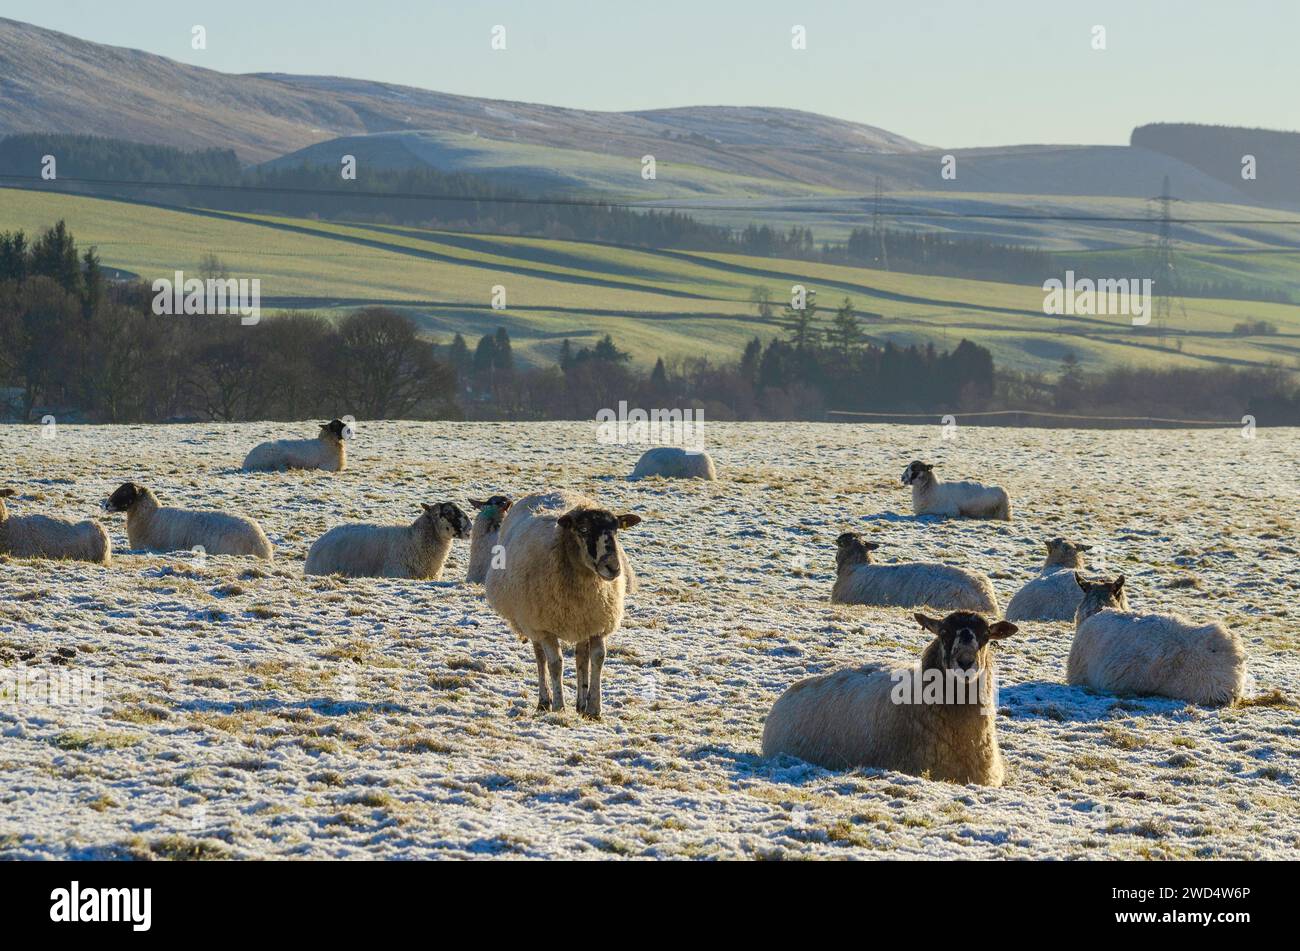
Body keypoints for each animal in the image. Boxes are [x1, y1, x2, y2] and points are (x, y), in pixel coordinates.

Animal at [486, 493, 642, 717]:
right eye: (583, 529)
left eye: (616, 529)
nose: (613, 567)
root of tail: (546, 491)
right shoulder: (544, 627)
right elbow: (555, 664)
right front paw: (559, 706)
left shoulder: (597, 623)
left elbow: (597, 659)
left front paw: (594, 708)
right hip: (531, 620)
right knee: (540, 658)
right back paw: (544, 700)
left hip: (580, 623)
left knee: (580, 658)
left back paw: (580, 704)